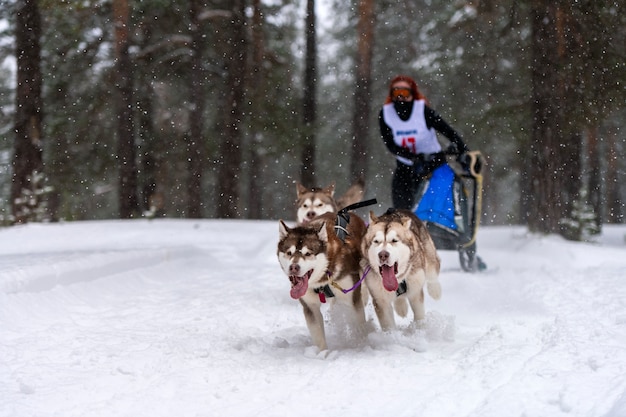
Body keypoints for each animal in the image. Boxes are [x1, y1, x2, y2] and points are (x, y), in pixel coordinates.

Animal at [276, 211, 366, 352]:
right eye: (289, 253)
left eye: (308, 253)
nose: (293, 267)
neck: (323, 280)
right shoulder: (310, 307)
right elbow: (318, 335)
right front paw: (323, 353)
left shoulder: (352, 299)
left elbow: (359, 324)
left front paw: (361, 345)